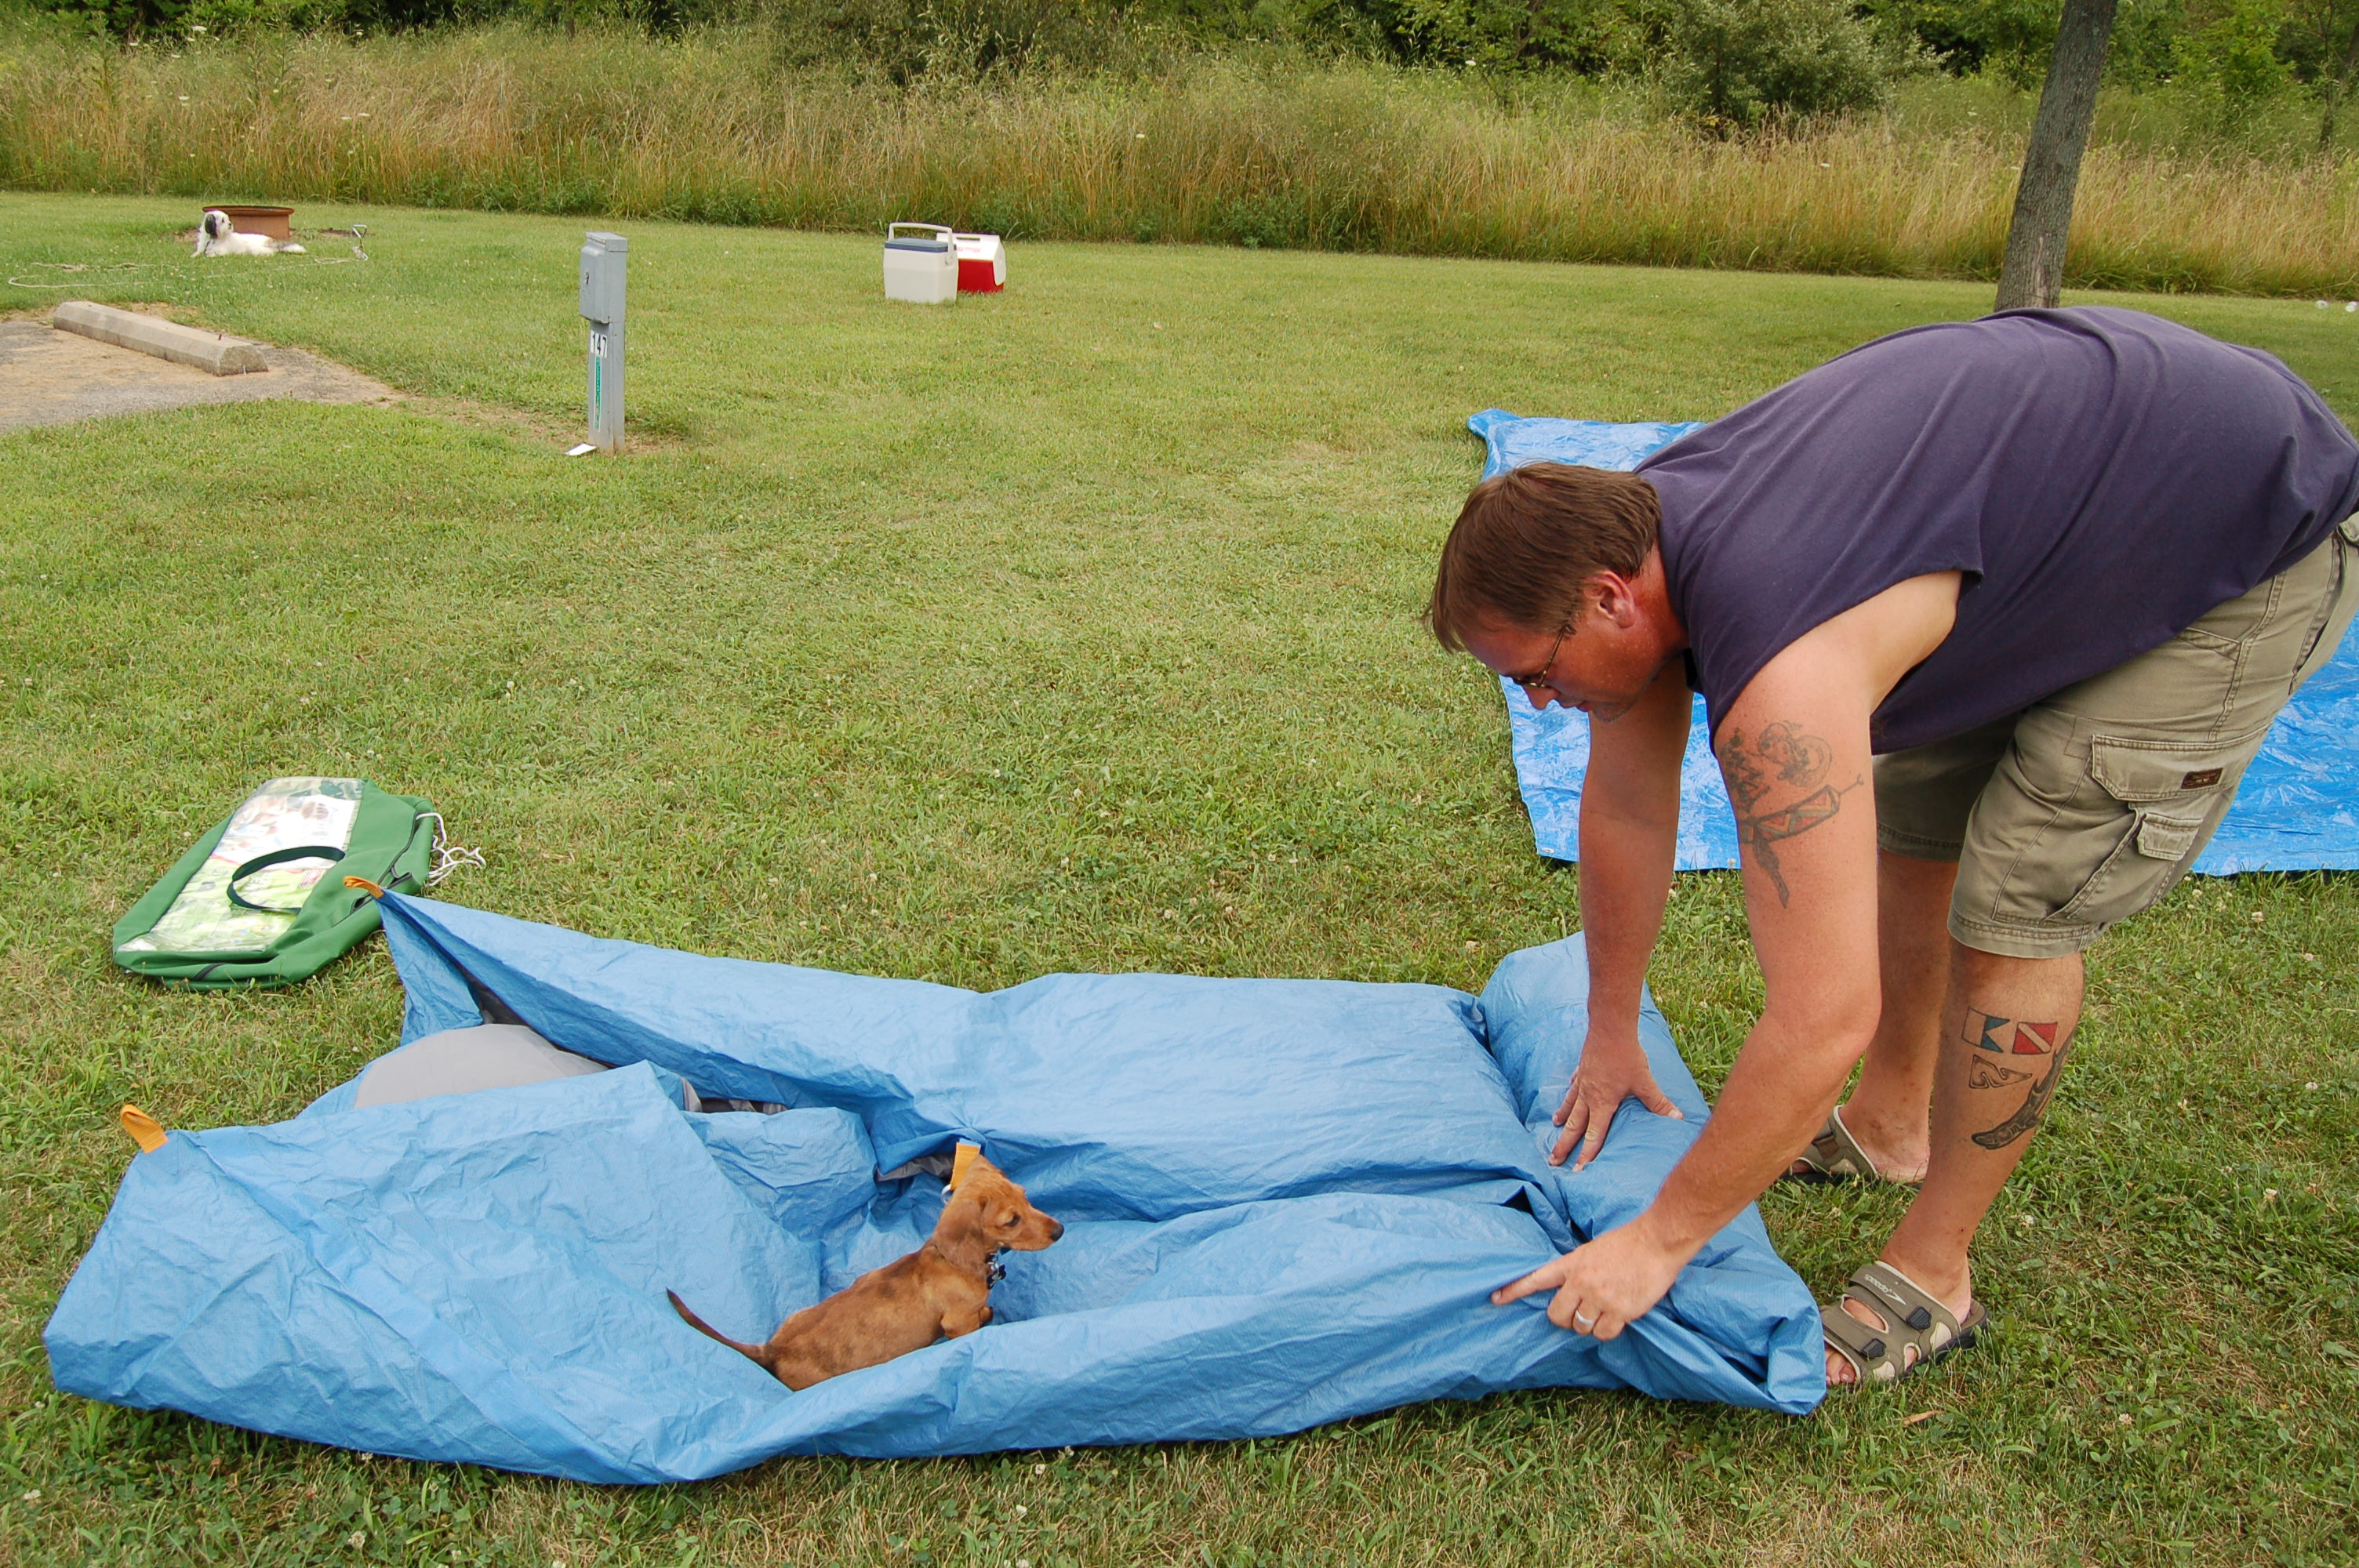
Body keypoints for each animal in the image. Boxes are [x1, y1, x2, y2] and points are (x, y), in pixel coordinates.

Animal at [191, 207, 304, 256]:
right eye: (223, 221)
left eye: (227, 219)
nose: (230, 224)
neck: (213, 238)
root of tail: (271, 240)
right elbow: (198, 253)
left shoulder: (222, 251)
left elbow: (213, 254)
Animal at [670, 1150, 1066, 1386]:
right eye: (1011, 1221)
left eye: (1026, 1196)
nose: (1060, 1231)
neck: (950, 1259)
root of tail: (773, 1349)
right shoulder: (958, 1323)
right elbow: (974, 1322)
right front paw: (988, 1317)